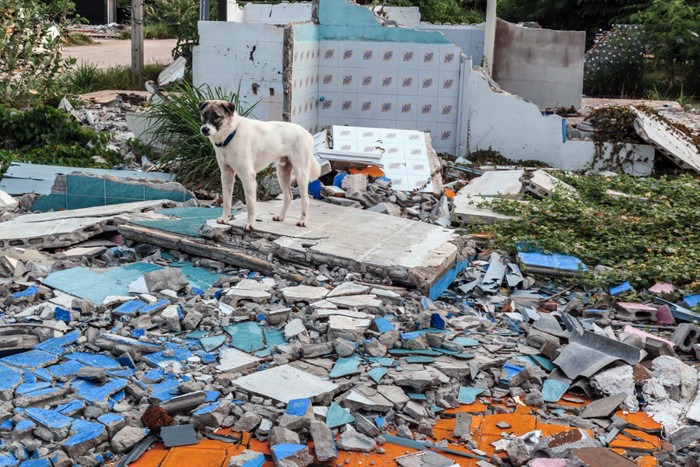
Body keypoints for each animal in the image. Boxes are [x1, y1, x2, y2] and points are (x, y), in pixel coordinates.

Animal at [198, 99, 322, 231]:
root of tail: (307, 133)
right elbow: (227, 201)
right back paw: (281, 217)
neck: (231, 134)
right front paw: (225, 219)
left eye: (217, 116)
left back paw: (303, 221)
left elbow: (250, 205)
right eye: (204, 114)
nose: (204, 129)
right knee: (289, 197)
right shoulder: (226, 175)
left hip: (301, 174)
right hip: (282, 173)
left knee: (306, 199)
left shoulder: (248, 176)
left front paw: (250, 223)